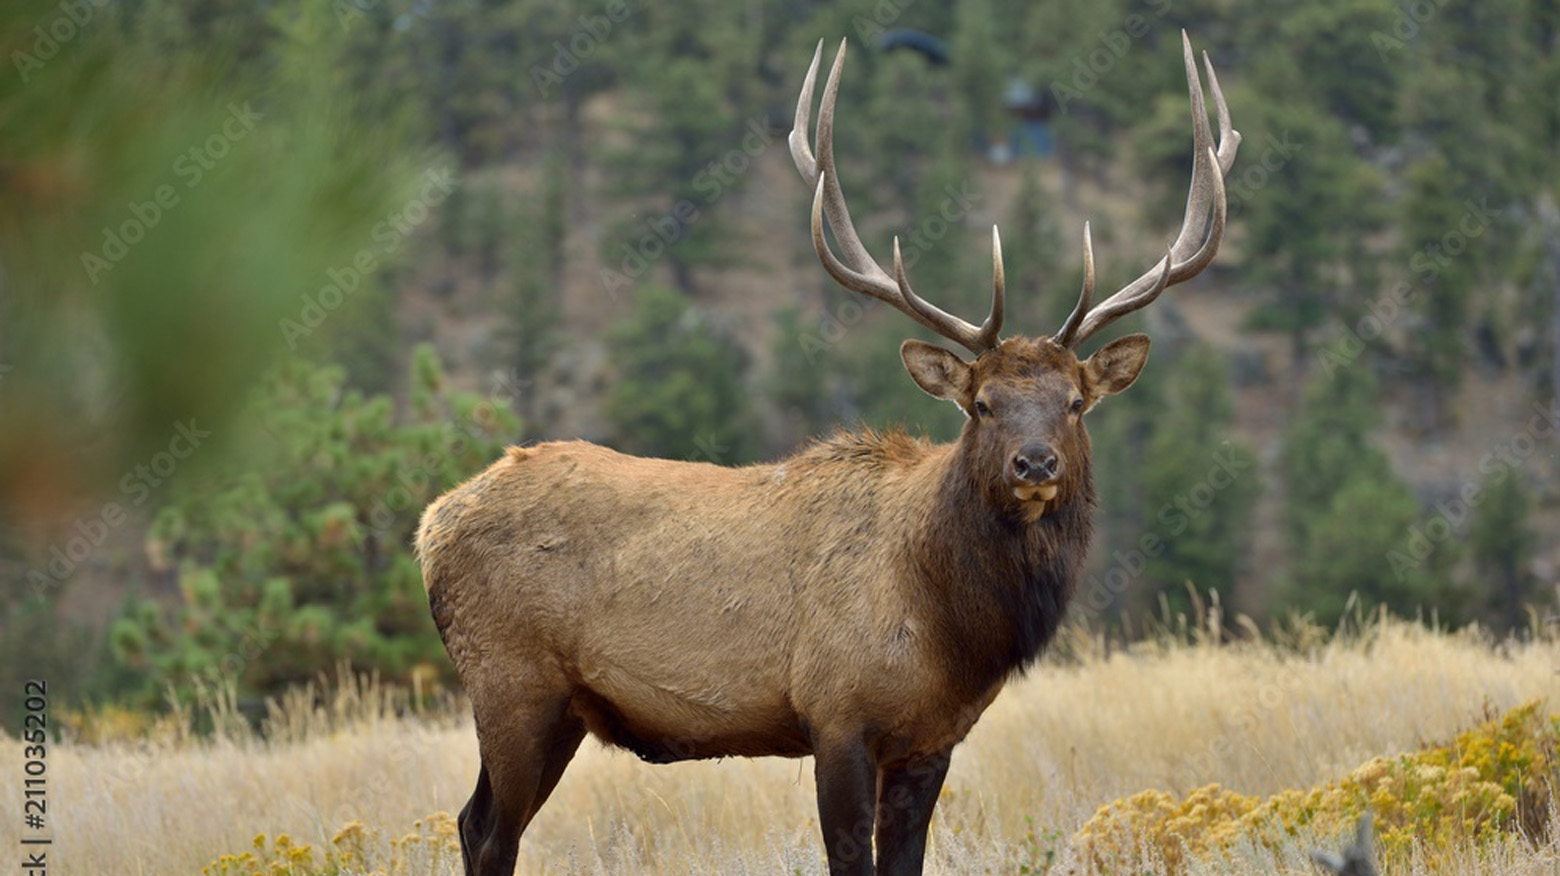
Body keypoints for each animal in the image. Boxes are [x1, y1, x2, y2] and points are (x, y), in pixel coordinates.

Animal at [416, 31, 1238, 876]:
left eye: (1075, 403)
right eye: (982, 405)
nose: (1036, 464)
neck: (947, 627)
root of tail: (432, 524)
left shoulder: (931, 740)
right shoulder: (836, 714)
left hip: (562, 709)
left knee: (472, 821)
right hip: (510, 681)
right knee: (489, 830)